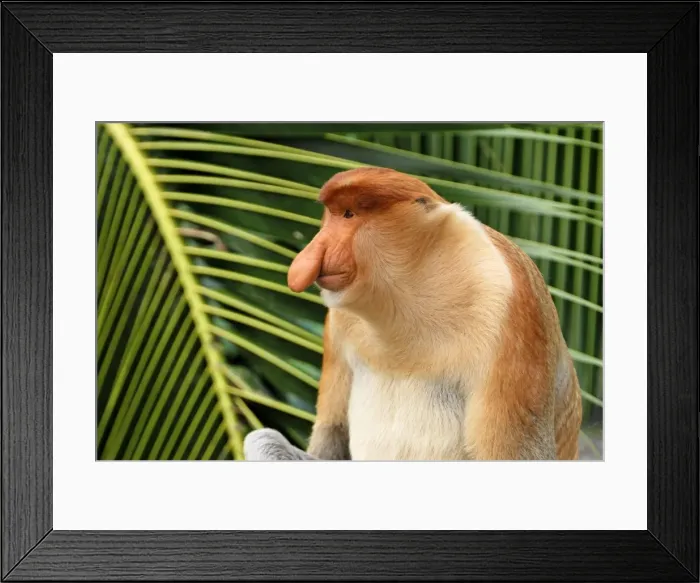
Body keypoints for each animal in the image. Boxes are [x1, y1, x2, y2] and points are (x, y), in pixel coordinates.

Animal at [243, 166, 583, 461]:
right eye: (332, 215)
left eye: (349, 214)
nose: (310, 253)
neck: (406, 296)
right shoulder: (339, 323)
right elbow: (331, 439)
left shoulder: (513, 307)